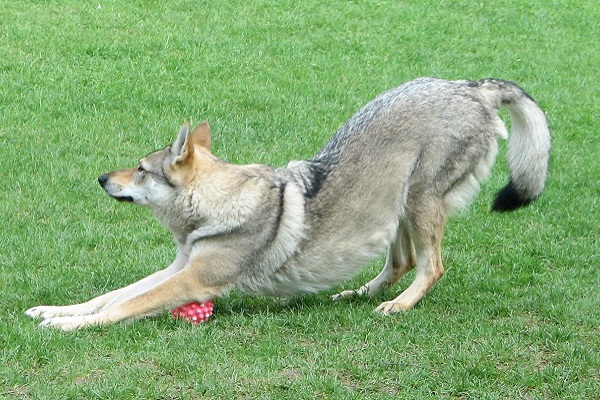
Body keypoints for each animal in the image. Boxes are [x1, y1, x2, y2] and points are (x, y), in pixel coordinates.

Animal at [28, 76, 552, 330]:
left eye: (140, 167)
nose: (101, 178)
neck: (218, 207)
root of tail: (472, 87)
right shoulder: (178, 268)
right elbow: (111, 296)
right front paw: (55, 312)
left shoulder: (192, 281)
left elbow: (120, 307)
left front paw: (68, 328)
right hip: (397, 208)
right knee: (400, 263)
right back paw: (359, 295)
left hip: (421, 205)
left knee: (431, 267)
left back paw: (398, 307)